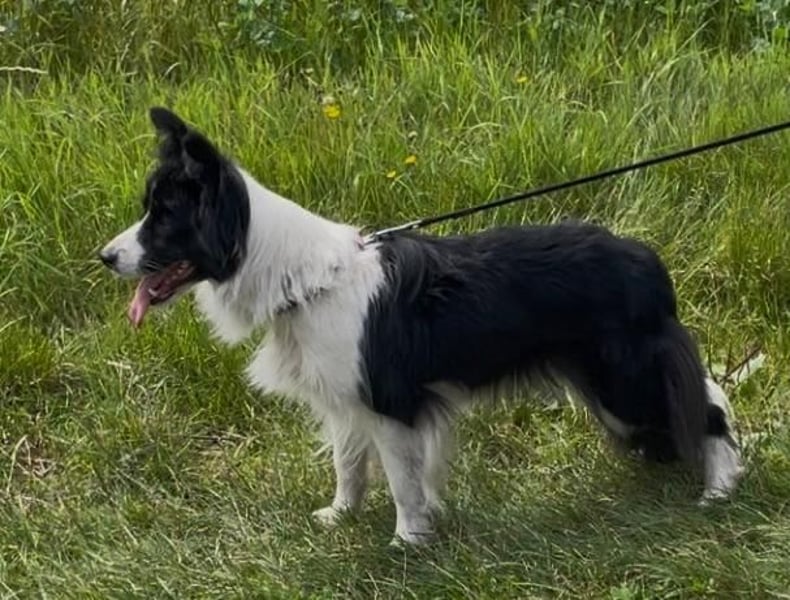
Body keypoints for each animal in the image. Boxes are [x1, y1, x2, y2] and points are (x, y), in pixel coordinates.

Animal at [100, 107, 743, 544]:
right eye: (149, 210)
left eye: (165, 218)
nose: (105, 257)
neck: (298, 277)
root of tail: (644, 259)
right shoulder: (346, 399)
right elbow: (348, 464)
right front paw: (341, 516)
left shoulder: (392, 404)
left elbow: (402, 480)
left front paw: (408, 540)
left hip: (621, 380)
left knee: (708, 406)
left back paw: (721, 489)